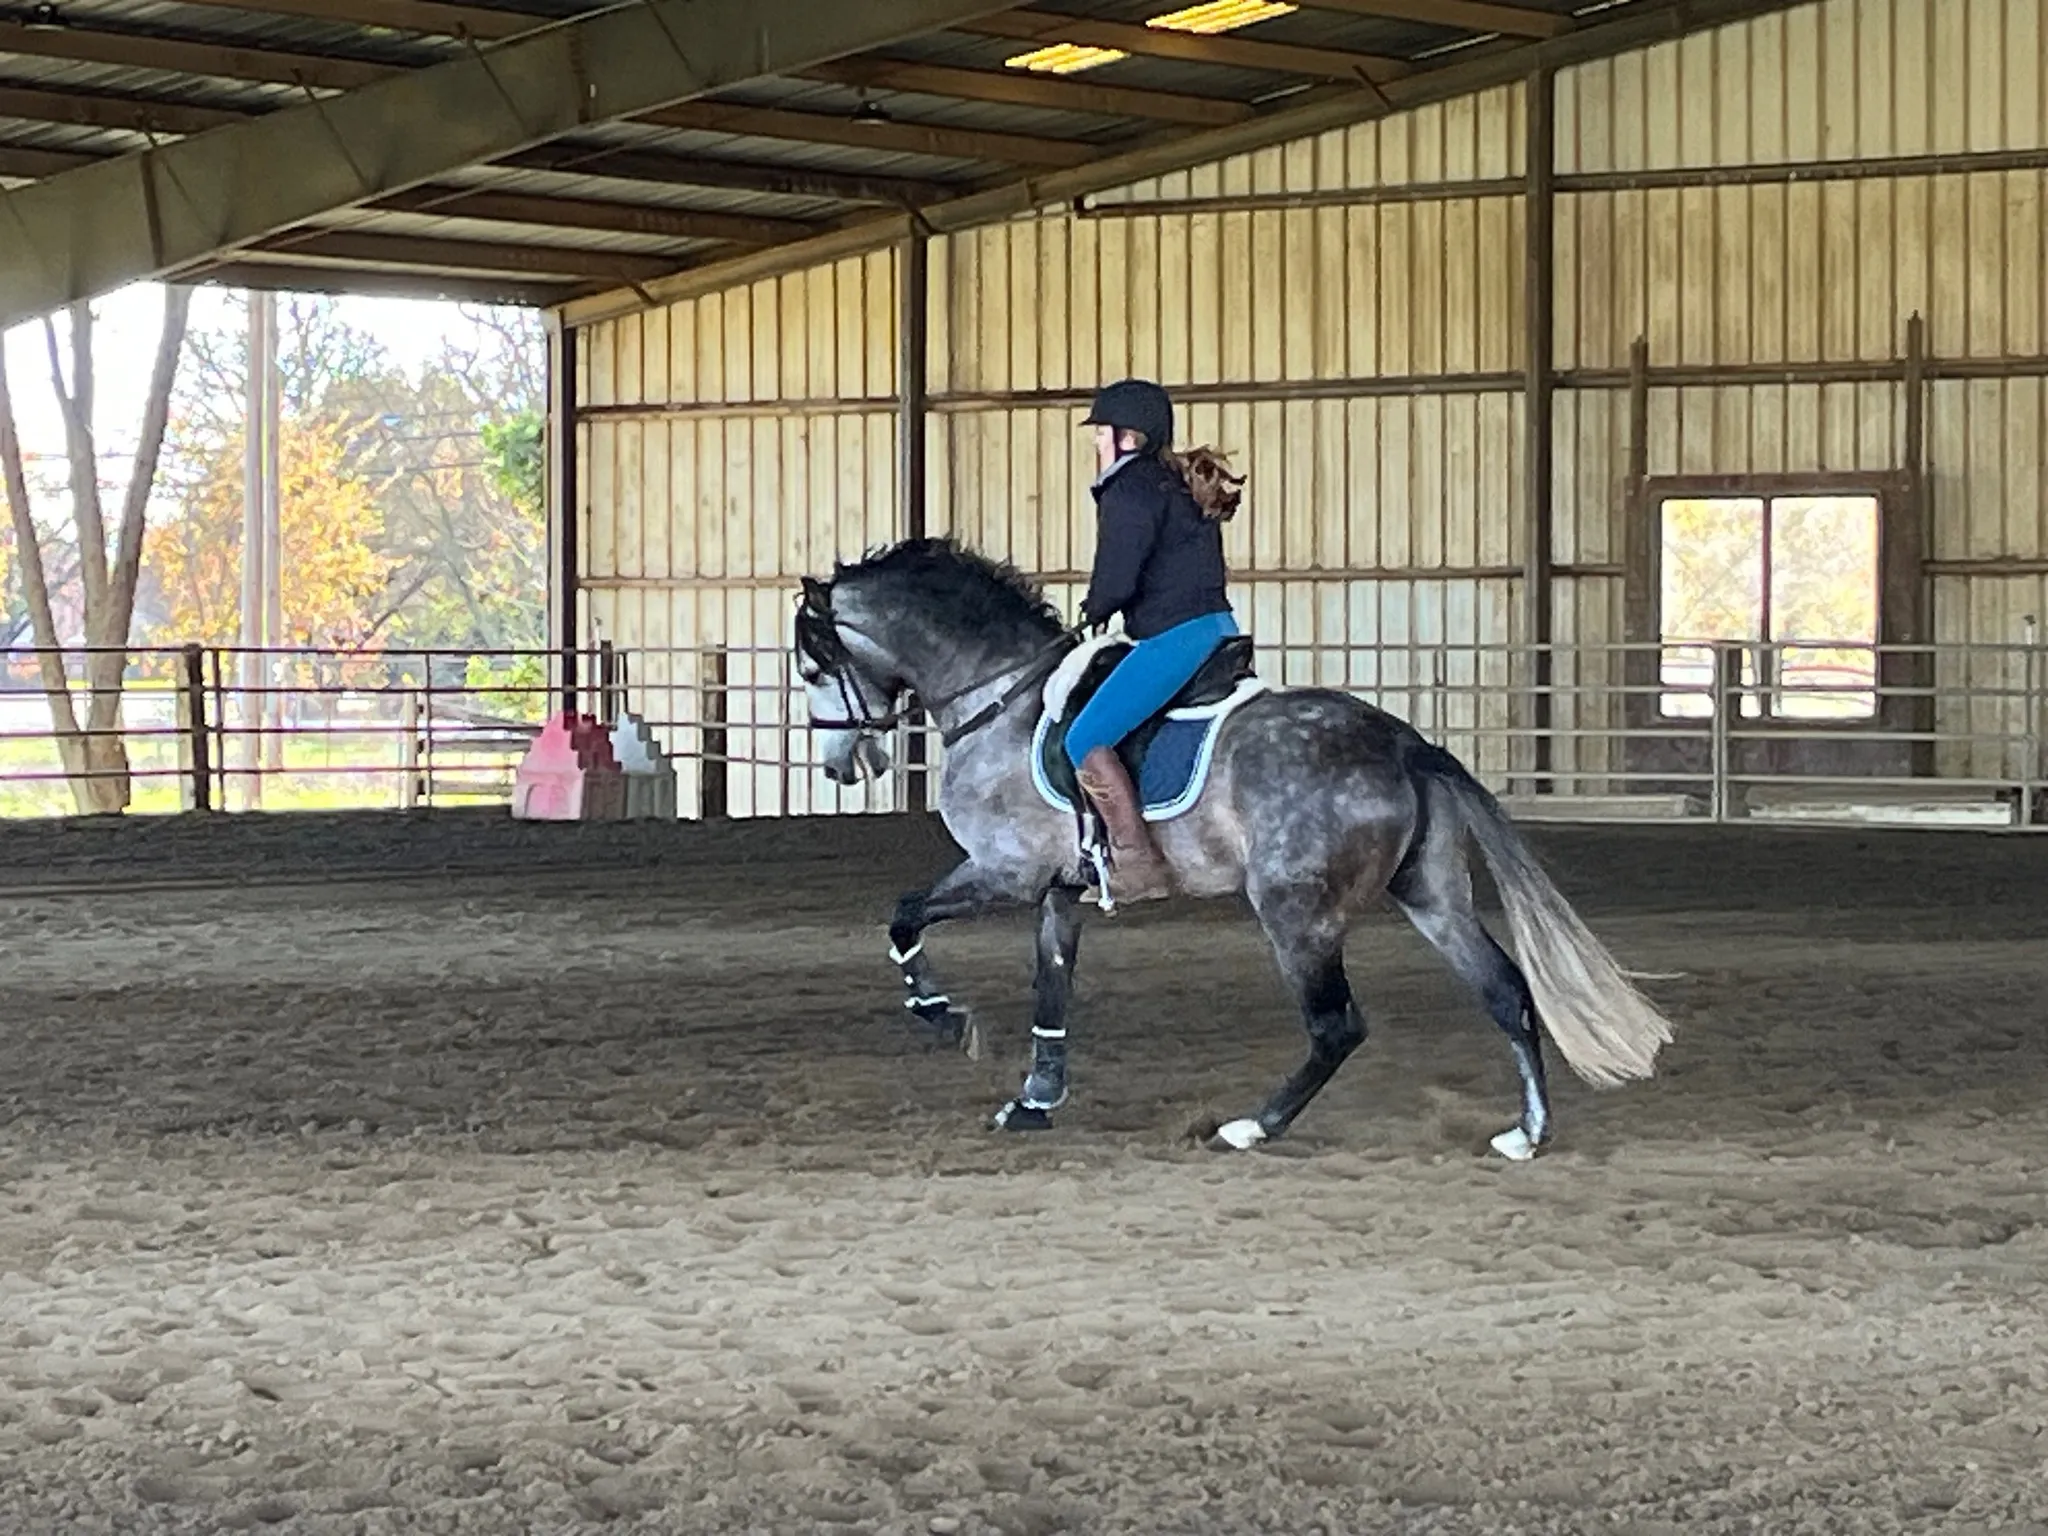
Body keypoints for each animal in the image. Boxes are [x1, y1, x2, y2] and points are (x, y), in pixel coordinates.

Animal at [792, 536, 1674, 1159]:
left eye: (811, 666)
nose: (844, 766)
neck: (1000, 692)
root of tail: (1401, 741)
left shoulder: (1008, 871)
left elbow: (905, 917)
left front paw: (945, 1019)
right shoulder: (1060, 889)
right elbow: (1052, 991)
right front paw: (1035, 1101)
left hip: (1295, 912)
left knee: (1337, 1026)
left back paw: (1251, 1127)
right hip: (1431, 896)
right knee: (1504, 991)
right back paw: (1527, 1133)